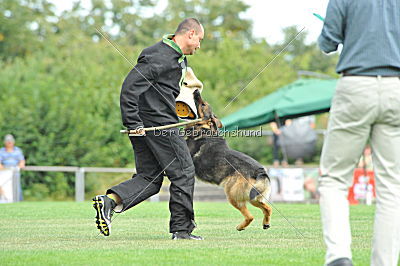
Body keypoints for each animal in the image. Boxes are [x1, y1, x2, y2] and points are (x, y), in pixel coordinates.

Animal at [184, 90, 272, 231]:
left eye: (203, 104)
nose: (196, 91)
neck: (206, 129)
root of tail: (260, 172)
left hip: (232, 195)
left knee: (250, 216)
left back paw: (241, 227)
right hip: (253, 198)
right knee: (267, 208)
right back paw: (265, 223)